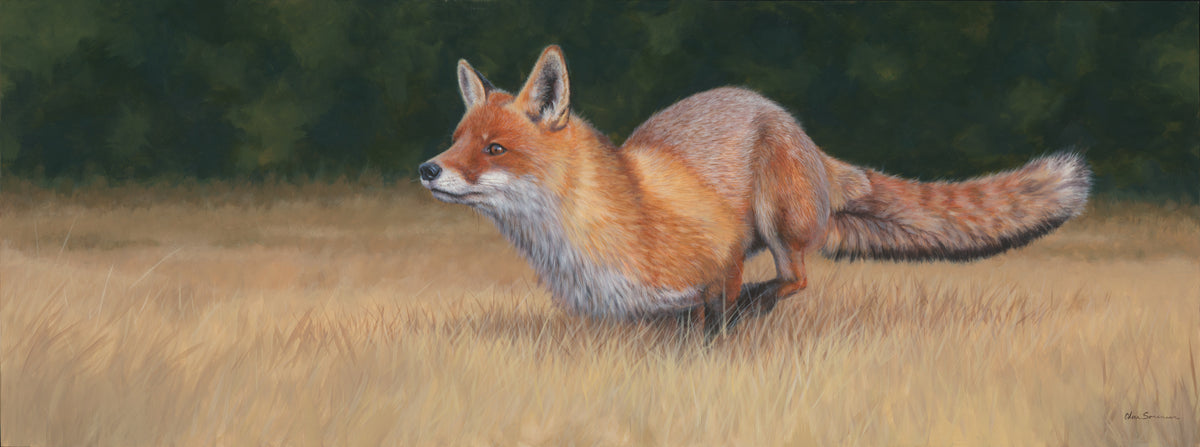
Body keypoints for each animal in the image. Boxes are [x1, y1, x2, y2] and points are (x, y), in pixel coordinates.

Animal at [419, 45, 1091, 330]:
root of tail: (803, 136)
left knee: (795, 278)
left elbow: (713, 325)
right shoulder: (613, 317)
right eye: (455, 140)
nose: (427, 168)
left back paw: (760, 304)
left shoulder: (719, 255)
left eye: (494, 149)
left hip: (776, 217)